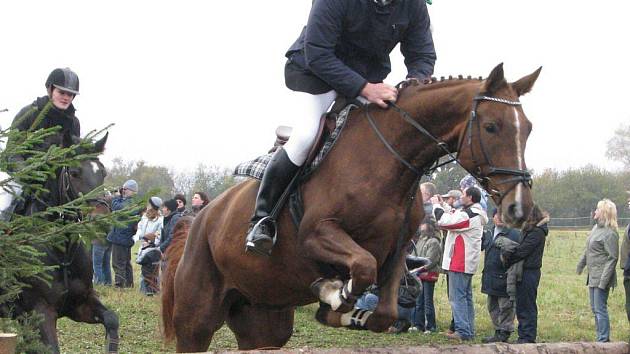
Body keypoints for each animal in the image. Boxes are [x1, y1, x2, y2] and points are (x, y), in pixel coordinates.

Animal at [0, 133, 118, 354]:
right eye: (74, 173)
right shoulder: (40, 312)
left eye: (103, 173)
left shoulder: (79, 305)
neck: (62, 252)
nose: (102, 221)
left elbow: (112, 319)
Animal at [163, 64, 544, 352]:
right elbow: (360, 267)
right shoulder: (316, 234)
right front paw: (333, 294)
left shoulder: (396, 253)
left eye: (528, 129)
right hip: (196, 321)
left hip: (264, 321)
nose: (519, 208)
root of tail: (200, 219)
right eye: (491, 127)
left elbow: (384, 311)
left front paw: (343, 309)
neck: (387, 162)